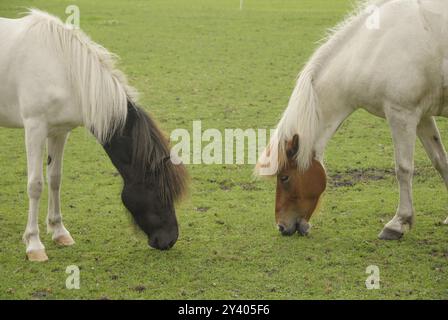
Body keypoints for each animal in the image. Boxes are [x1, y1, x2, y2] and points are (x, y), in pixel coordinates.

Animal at [0, 10, 186, 262]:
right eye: (158, 191)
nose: (170, 239)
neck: (62, 68)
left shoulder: (59, 131)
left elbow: (55, 178)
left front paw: (59, 232)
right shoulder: (35, 128)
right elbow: (36, 185)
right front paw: (34, 244)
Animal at [258, 0, 448, 240]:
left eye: (284, 177)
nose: (282, 227)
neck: (377, 45)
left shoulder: (401, 114)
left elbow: (403, 168)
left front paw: (397, 223)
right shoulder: (422, 116)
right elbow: (441, 161)